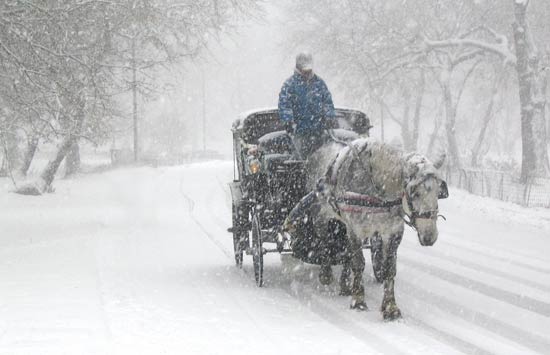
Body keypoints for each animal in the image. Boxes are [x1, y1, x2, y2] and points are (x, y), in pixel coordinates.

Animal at [304, 138, 450, 322]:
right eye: (415, 193)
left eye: (439, 192)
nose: (430, 236)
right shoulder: (355, 228)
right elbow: (358, 262)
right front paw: (358, 300)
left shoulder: (393, 231)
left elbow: (389, 268)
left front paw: (390, 307)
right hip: (322, 211)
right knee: (324, 237)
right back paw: (326, 273)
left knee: (345, 251)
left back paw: (345, 284)